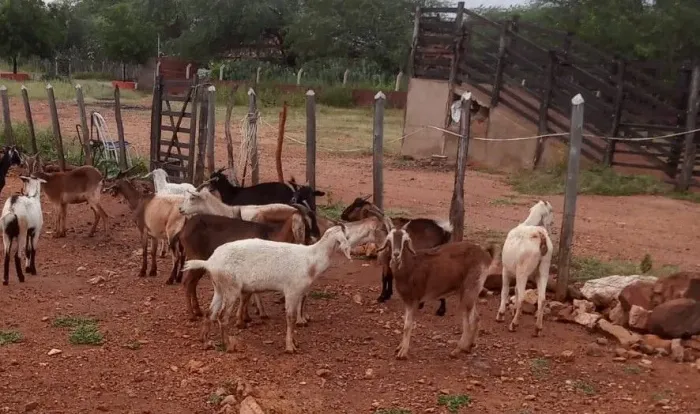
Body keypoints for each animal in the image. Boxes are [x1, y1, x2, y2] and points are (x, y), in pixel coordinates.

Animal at [181, 224, 352, 353]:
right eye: (345, 235)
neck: (312, 259)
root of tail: (210, 262)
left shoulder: (298, 292)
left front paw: (295, 342)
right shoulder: (292, 290)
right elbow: (290, 318)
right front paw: (290, 347)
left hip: (219, 288)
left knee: (210, 313)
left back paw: (206, 342)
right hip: (231, 288)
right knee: (222, 317)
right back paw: (228, 345)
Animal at [376, 223, 501, 359]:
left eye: (406, 240)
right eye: (389, 240)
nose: (396, 255)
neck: (410, 266)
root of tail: (485, 255)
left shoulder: (414, 299)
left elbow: (408, 325)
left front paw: (403, 352)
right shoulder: (407, 301)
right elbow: (404, 323)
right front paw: (400, 347)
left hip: (471, 287)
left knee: (469, 320)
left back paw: (458, 349)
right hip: (468, 291)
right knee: (475, 317)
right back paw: (468, 346)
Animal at [496, 200, 554, 337]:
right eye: (551, 211)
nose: (552, 224)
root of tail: (540, 235)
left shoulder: (506, 270)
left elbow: (505, 291)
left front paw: (501, 314)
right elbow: (515, 290)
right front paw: (514, 310)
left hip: (523, 271)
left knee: (522, 296)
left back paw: (514, 324)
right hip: (543, 270)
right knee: (542, 298)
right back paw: (537, 328)